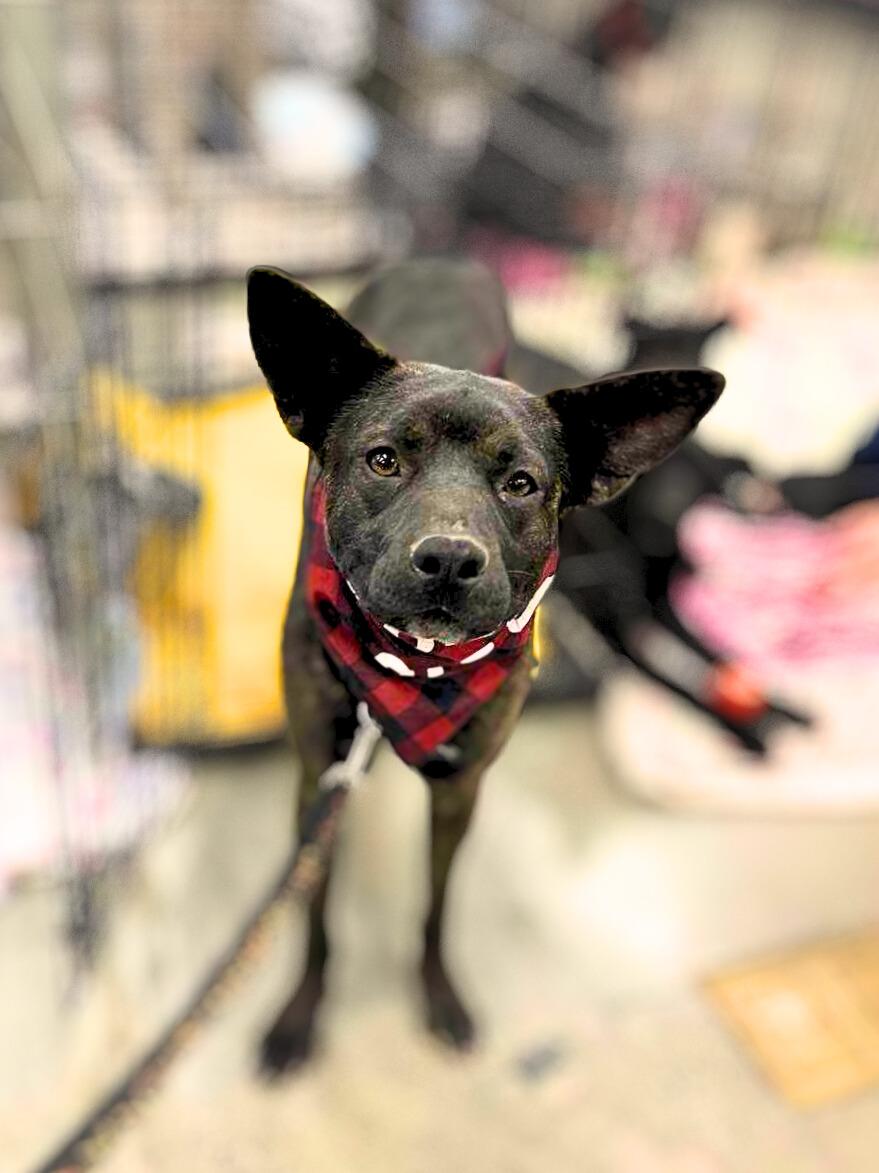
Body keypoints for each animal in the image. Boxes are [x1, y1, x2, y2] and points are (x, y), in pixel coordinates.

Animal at [247, 259, 724, 1073]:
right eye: (383, 460)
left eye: (520, 483)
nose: (447, 559)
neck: (413, 666)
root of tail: (439, 257)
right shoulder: (318, 778)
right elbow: (313, 914)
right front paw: (299, 1014)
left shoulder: (460, 791)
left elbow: (437, 903)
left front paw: (439, 994)